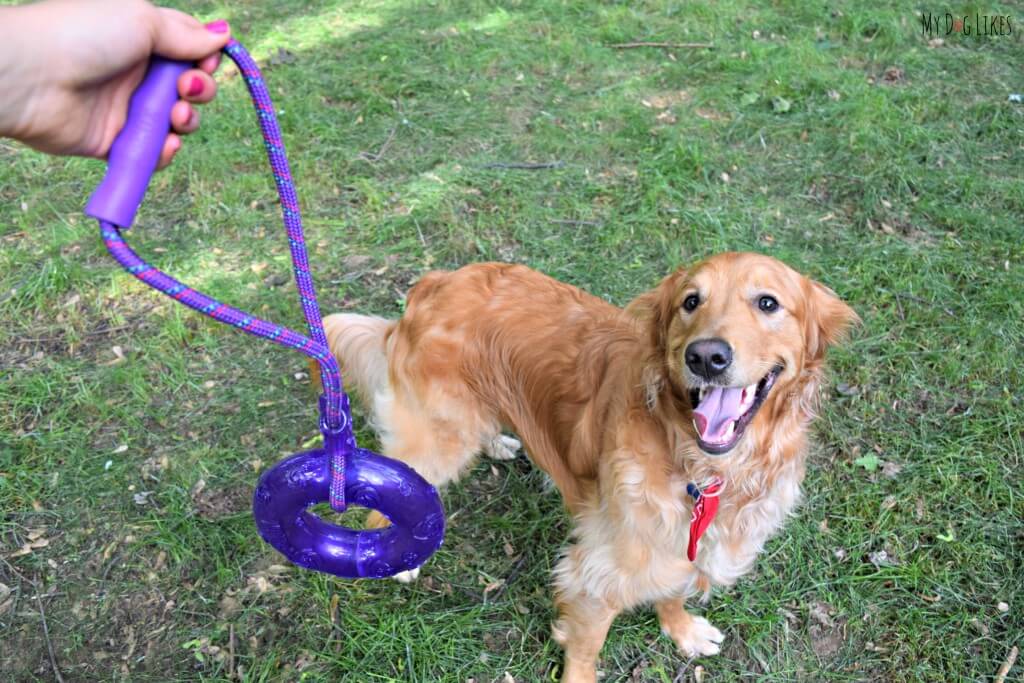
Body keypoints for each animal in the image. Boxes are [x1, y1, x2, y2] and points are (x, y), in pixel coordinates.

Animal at [323, 253, 860, 679]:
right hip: (440, 439)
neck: (705, 472)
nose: (706, 356)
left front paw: (682, 630)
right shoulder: (598, 570)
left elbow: (673, 590)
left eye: (768, 303)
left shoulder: (676, 549)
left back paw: (497, 442)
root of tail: (432, 284)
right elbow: (587, 643)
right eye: (691, 302)